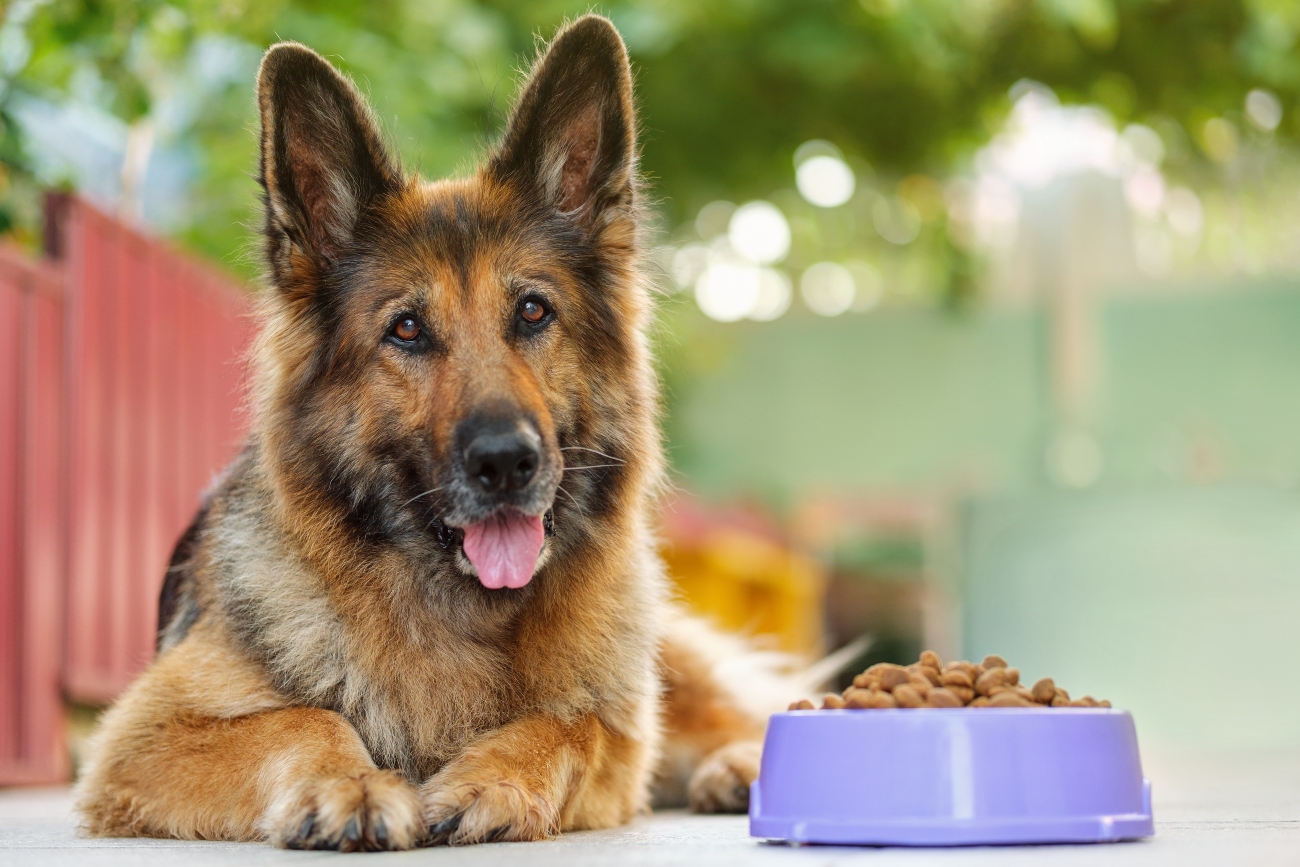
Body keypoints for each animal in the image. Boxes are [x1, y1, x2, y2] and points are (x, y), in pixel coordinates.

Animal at [76, 13, 785, 852]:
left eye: (533, 311)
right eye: (407, 328)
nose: (507, 462)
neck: (461, 612)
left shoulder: (619, 737)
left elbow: (571, 723)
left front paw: (493, 777)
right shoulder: (141, 736)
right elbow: (302, 714)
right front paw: (348, 784)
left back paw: (741, 765)